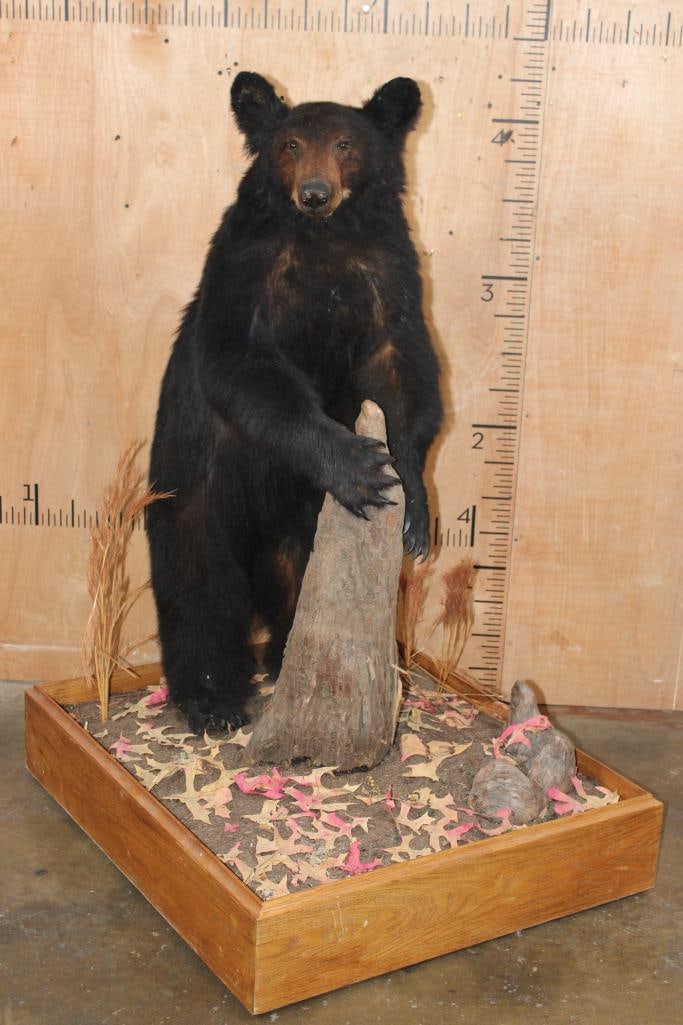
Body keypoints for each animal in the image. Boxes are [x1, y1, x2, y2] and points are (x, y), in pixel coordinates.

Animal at [146, 72, 443, 733]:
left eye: (345, 144)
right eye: (289, 145)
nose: (314, 193)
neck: (322, 239)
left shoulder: (387, 270)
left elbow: (402, 366)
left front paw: (413, 504)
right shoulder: (245, 266)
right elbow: (239, 363)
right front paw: (357, 466)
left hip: (303, 523)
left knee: (300, 580)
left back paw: (287, 662)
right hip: (194, 489)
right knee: (197, 584)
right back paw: (212, 698)